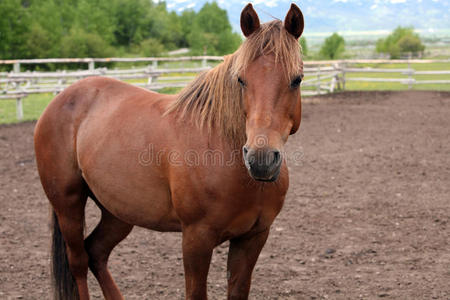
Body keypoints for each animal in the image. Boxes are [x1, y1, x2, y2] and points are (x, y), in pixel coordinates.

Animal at [33, 3, 304, 298]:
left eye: (297, 79)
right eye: (241, 80)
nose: (261, 159)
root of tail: (62, 98)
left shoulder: (253, 237)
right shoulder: (196, 239)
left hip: (117, 211)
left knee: (96, 252)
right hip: (68, 204)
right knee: (79, 261)